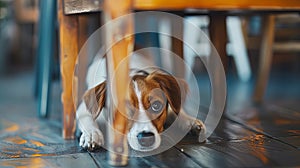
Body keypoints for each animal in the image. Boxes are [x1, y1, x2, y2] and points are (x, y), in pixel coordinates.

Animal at [76, 50, 205, 152]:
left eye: (156, 105)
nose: (146, 138)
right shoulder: (83, 110)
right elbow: (88, 120)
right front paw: (91, 134)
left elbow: (176, 111)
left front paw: (190, 121)